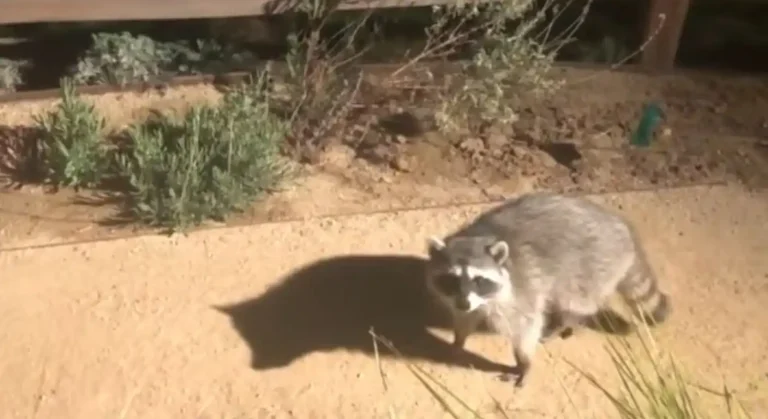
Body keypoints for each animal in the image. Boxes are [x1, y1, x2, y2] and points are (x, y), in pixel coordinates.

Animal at [425, 192, 670, 387]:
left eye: (479, 280)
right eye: (452, 279)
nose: (463, 303)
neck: (476, 236)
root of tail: (623, 229)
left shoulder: (519, 290)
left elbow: (525, 326)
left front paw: (524, 362)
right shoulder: (463, 298)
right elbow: (464, 318)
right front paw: (458, 339)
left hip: (591, 267)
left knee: (575, 300)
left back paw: (568, 321)